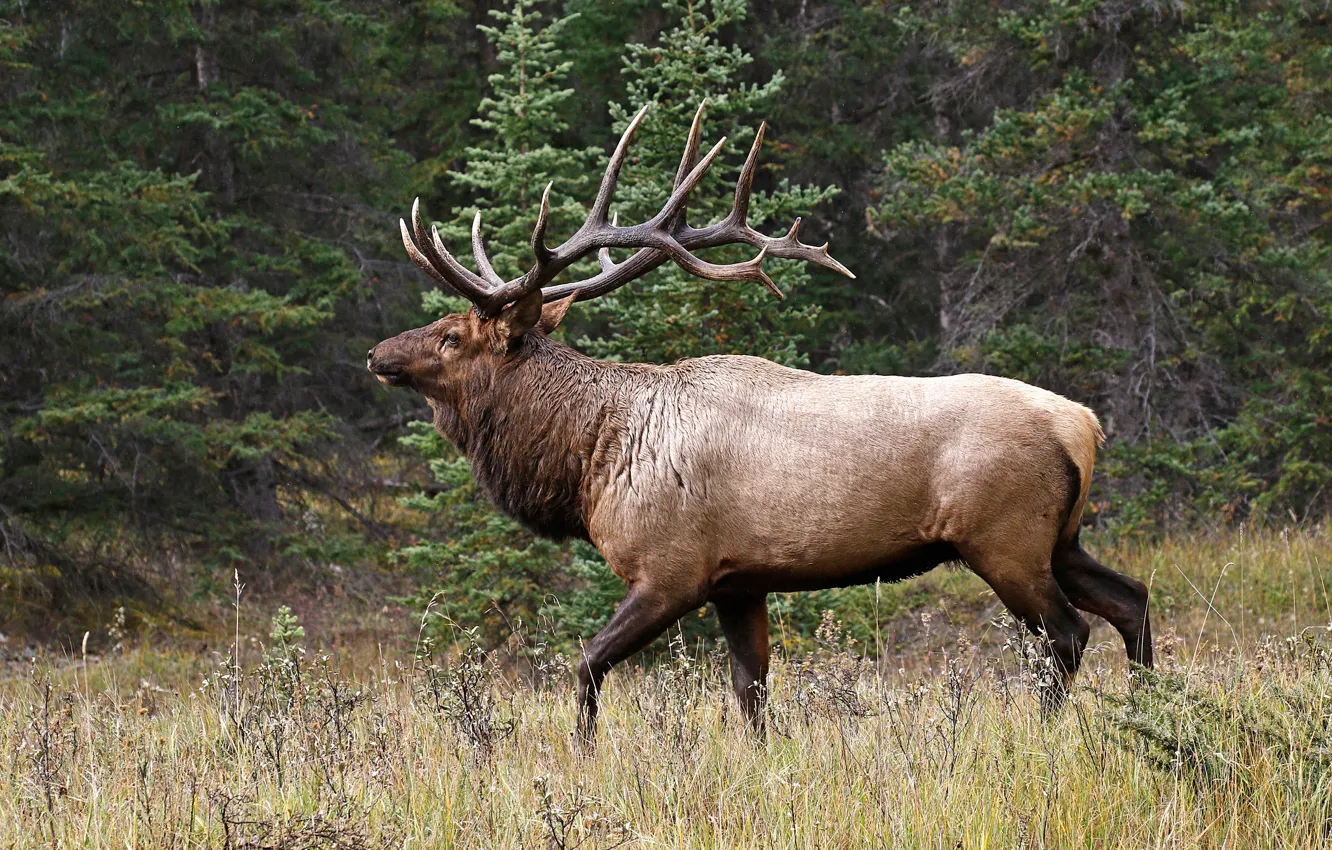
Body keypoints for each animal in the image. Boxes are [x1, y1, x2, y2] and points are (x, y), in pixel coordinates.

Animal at [367, 103, 1153, 743]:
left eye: (450, 337)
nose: (378, 354)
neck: (590, 460)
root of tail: (1085, 424)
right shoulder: (737, 581)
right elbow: (751, 693)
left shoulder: (669, 569)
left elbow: (587, 665)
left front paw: (583, 754)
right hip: (1060, 538)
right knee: (1133, 601)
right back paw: (1151, 712)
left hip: (1003, 537)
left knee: (1069, 633)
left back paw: (1050, 731)